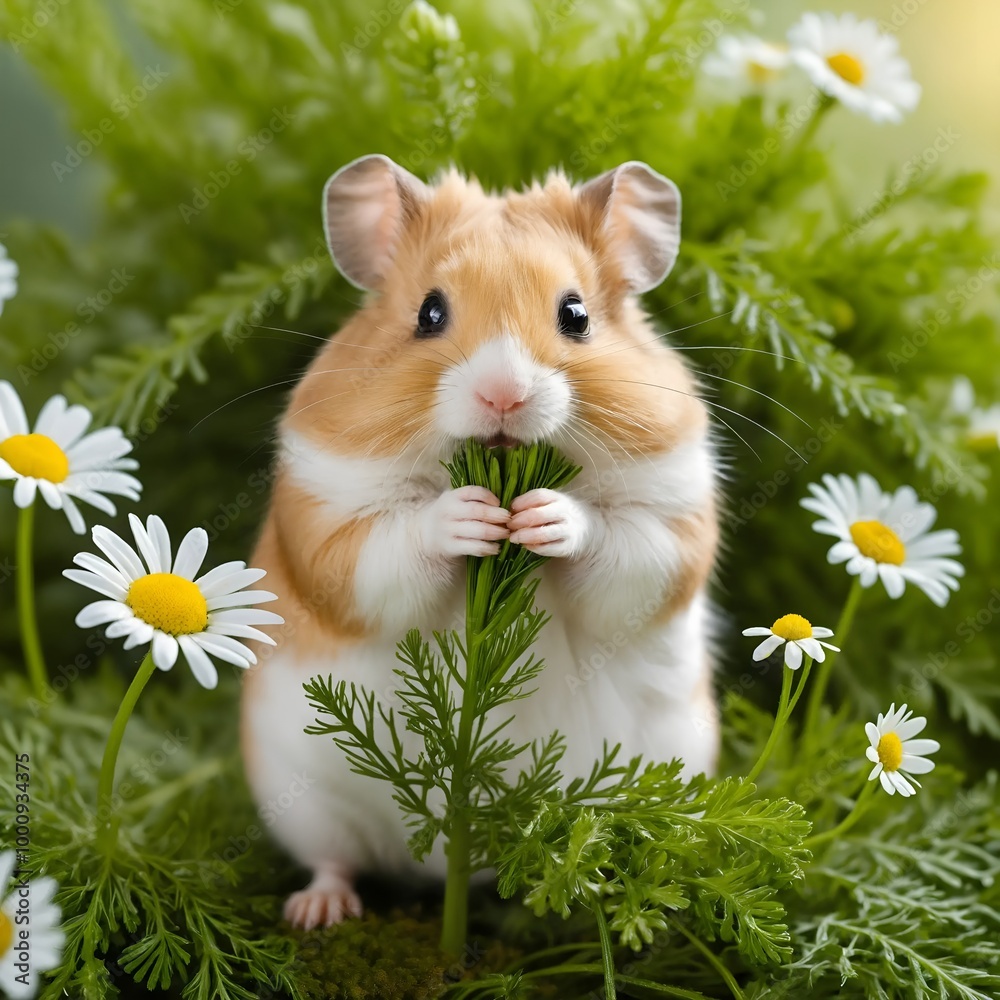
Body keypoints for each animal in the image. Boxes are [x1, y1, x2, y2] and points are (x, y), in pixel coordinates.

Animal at [241, 154, 720, 929]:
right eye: (428, 313)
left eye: (576, 315)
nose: (504, 395)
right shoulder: (327, 517)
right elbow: (393, 543)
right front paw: (470, 517)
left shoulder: (672, 519)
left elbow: (616, 547)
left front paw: (542, 516)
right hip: (306, 799)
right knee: (334, 859)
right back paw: (317, 913)